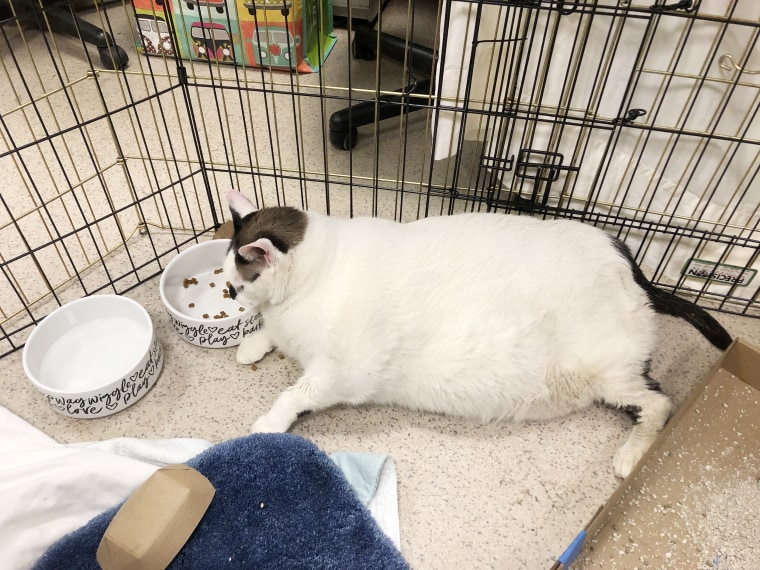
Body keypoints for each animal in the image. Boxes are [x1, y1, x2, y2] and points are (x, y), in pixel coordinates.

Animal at [224, 190, 732, 474]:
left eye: (241, 278)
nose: (229, 290)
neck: (316, 275)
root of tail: (624, 252)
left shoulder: (342, 372)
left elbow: (295, 394)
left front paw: (268, 424)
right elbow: (272, 335)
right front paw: (253, 344)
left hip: (609, 372)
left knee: (660, 402)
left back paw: (632, 456)